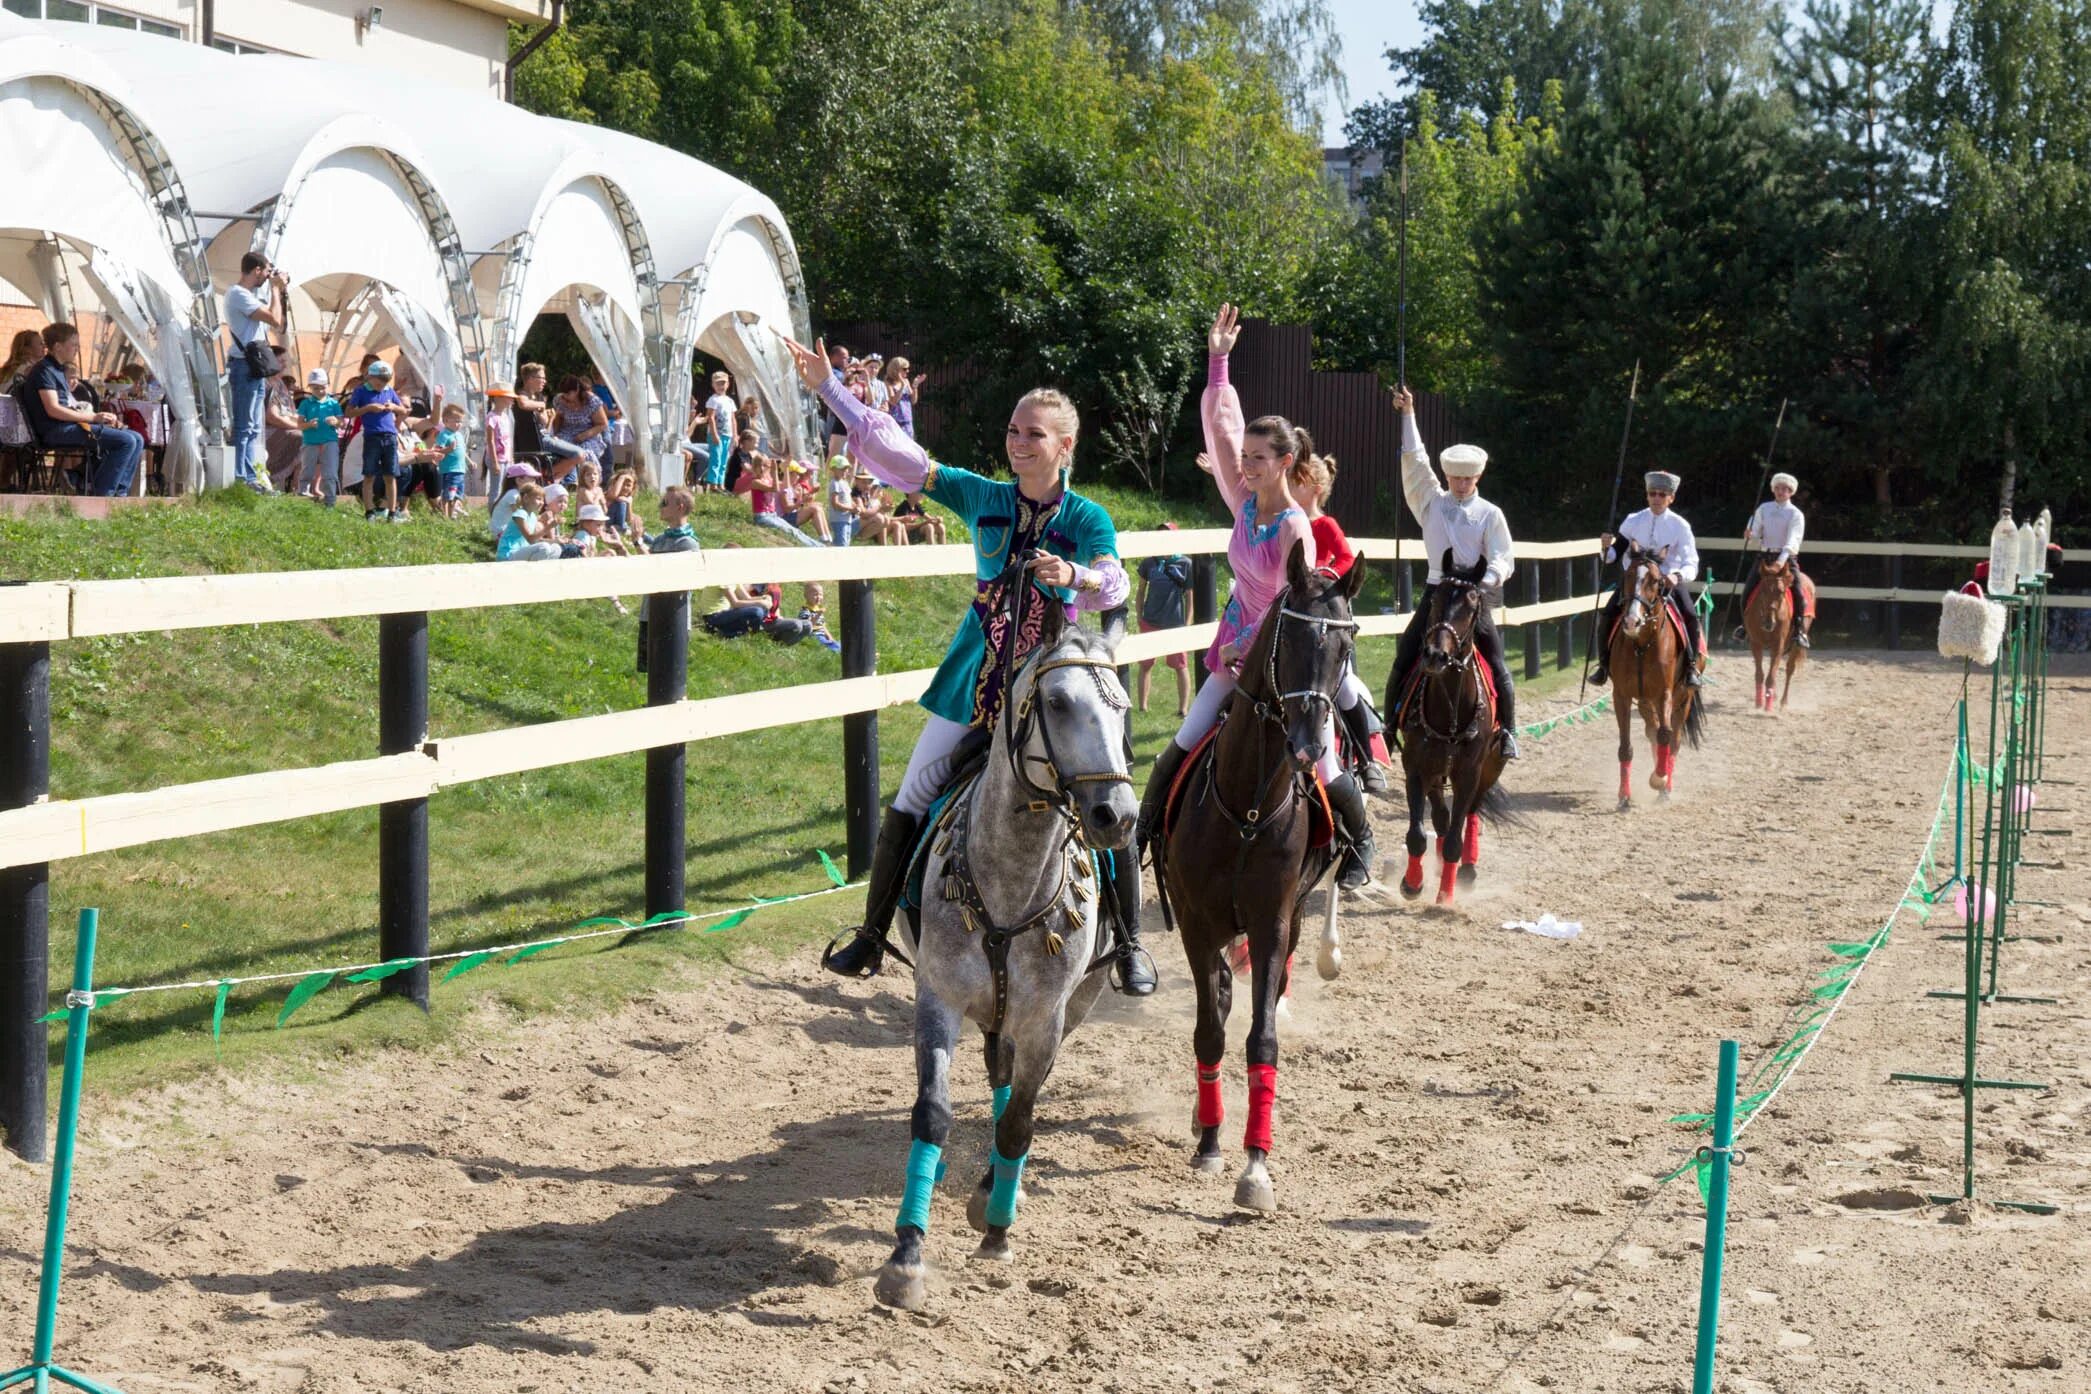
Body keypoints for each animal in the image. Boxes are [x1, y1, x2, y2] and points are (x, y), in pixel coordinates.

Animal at [869, 614, 1137, 1312]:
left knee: (1014, 1087)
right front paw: (906, 1256)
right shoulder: (938, 998)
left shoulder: (1046, 1017)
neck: (1012, 875)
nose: (1116, 816)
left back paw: (993, 1193)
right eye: (1058, 702)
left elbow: (1020, 1121)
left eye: (1122, 708)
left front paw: (997, 1231)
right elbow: (932, 1114)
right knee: (998, 1073)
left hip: (1067, 1007)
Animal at [1154, 539, 1363, 1212]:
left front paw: (1255, 1165)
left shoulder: (1272, 922)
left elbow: (1261, 1037)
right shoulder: (1196, 924)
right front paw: (1211, 1143)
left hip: (1293, 916)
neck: (1246, 808)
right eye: (1290, 642)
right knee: (1219, 999)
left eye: (1345, 647)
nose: (1309, 743)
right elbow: (1209, 1033)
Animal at [1388, 551, 1505, 911]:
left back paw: (1466, 870)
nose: (1436, 655)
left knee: (1470, 813)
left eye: (1471, 604)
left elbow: (1456, 834)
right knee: (1440, 816)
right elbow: (1417, 834)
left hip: (1489, 768)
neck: (1450, 708)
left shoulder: (1469, 772)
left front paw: (1446, 894)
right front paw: (1412, 884)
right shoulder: (1416, 768)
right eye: (1436, 599)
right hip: (1437, 771)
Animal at [1605, 543, 1706, 806]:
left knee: (1673, 740)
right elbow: (1626, 747)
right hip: (1645, 703)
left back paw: (1665, 787)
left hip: (1683, 699)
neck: (1641, 645)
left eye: (1656, 580)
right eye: (1628, 575)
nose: (1632, 620)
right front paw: (1624, 796)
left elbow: (1666, 736)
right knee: (1652, 732)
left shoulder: (1665, 694)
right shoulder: (1622, 696)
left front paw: (1658, 779)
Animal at [1739, 551, 1806, 714]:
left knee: (1789, 669)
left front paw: (1767, 706)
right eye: (1762, 590)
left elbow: (1771, 676)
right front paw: (1759, 702)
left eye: (1781, 591)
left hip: (1794, 644)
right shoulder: (1755, 643)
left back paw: (1783, 702)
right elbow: (1760, 674)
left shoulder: (1778, 645)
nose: (1769, 623)